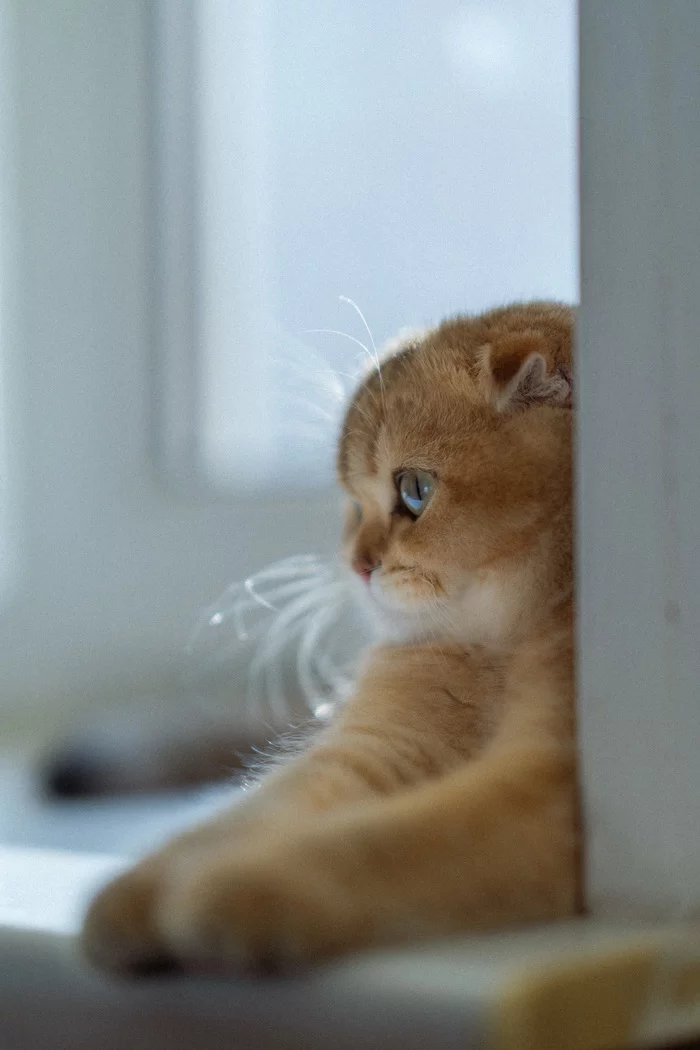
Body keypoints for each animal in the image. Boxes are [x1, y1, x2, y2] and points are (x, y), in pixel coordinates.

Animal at [82, 300, 579, 970]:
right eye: (353, 504)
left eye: (415, 490)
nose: (357, 564)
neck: (498, 646)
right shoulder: (379, 749)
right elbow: (247, 816)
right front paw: (140, 888)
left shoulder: (550, 784)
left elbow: (388, 844)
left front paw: (240, 888)